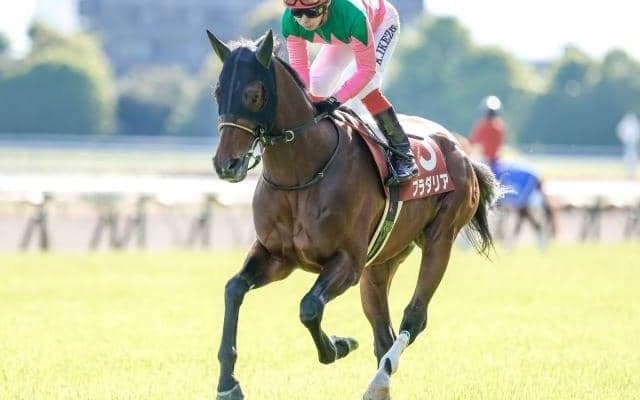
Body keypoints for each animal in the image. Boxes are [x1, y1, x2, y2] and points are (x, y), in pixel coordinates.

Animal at [207, 29, 501, 400]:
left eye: (254, 95)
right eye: (217, 92)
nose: (226, 164)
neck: (301, 174)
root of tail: (461, 151)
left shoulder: (347, 262)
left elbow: (309, 307)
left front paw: (339, 345)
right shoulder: (277, 256)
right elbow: (233, 289)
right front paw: (227, 383)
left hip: (440, 239)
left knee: (414, 318)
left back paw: (379, 380)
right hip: (381, 263)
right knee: (382, 332)